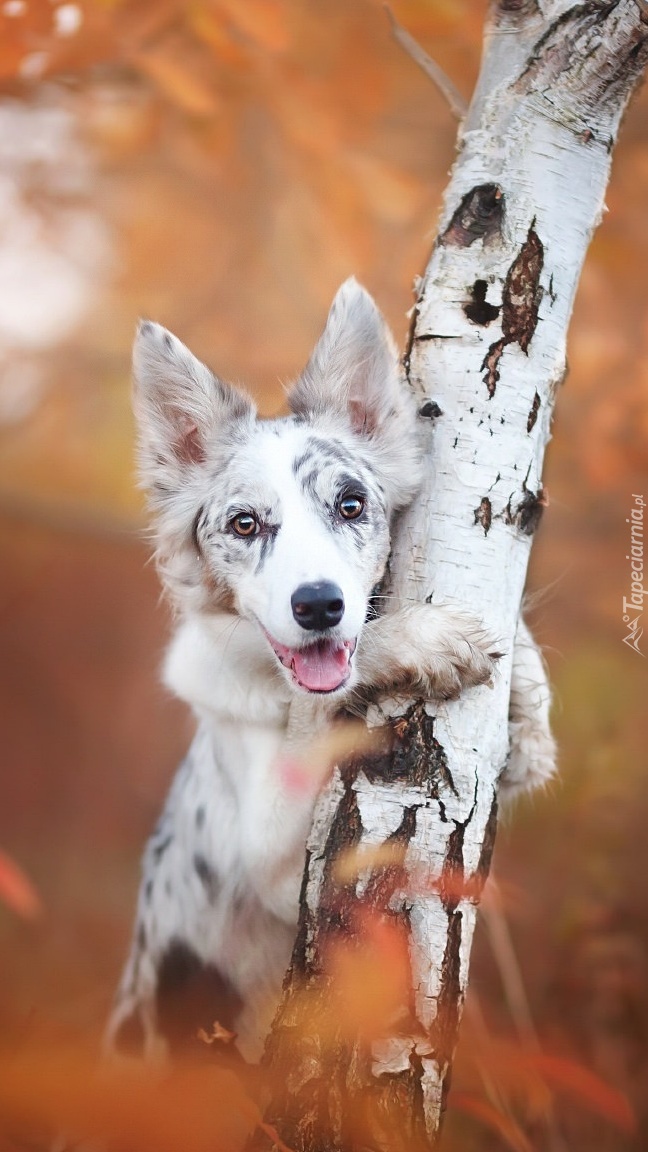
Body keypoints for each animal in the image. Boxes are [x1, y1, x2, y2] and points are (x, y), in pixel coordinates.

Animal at [106, 278, 555, 1059]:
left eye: (350, 505)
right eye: (245, 524)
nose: (319, 605)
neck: (276, 688)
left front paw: (526, 688)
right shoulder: (276, 862)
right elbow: (327, 704)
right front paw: (423, 638)